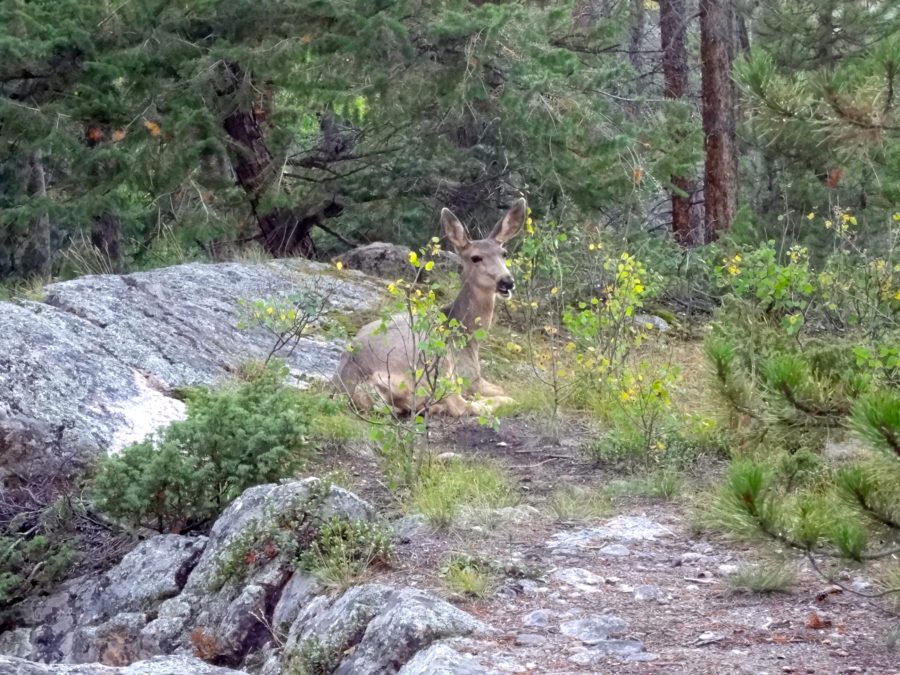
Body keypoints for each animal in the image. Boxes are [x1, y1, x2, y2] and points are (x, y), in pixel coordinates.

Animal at [333, 198, 527, 417]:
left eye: (504, 253)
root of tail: (354, 383)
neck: (467, 333)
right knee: (459, 405)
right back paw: (506, 402)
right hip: (434, 359)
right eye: (476, 257)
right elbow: (496, 388)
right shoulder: (470, 375)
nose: (507, 282)